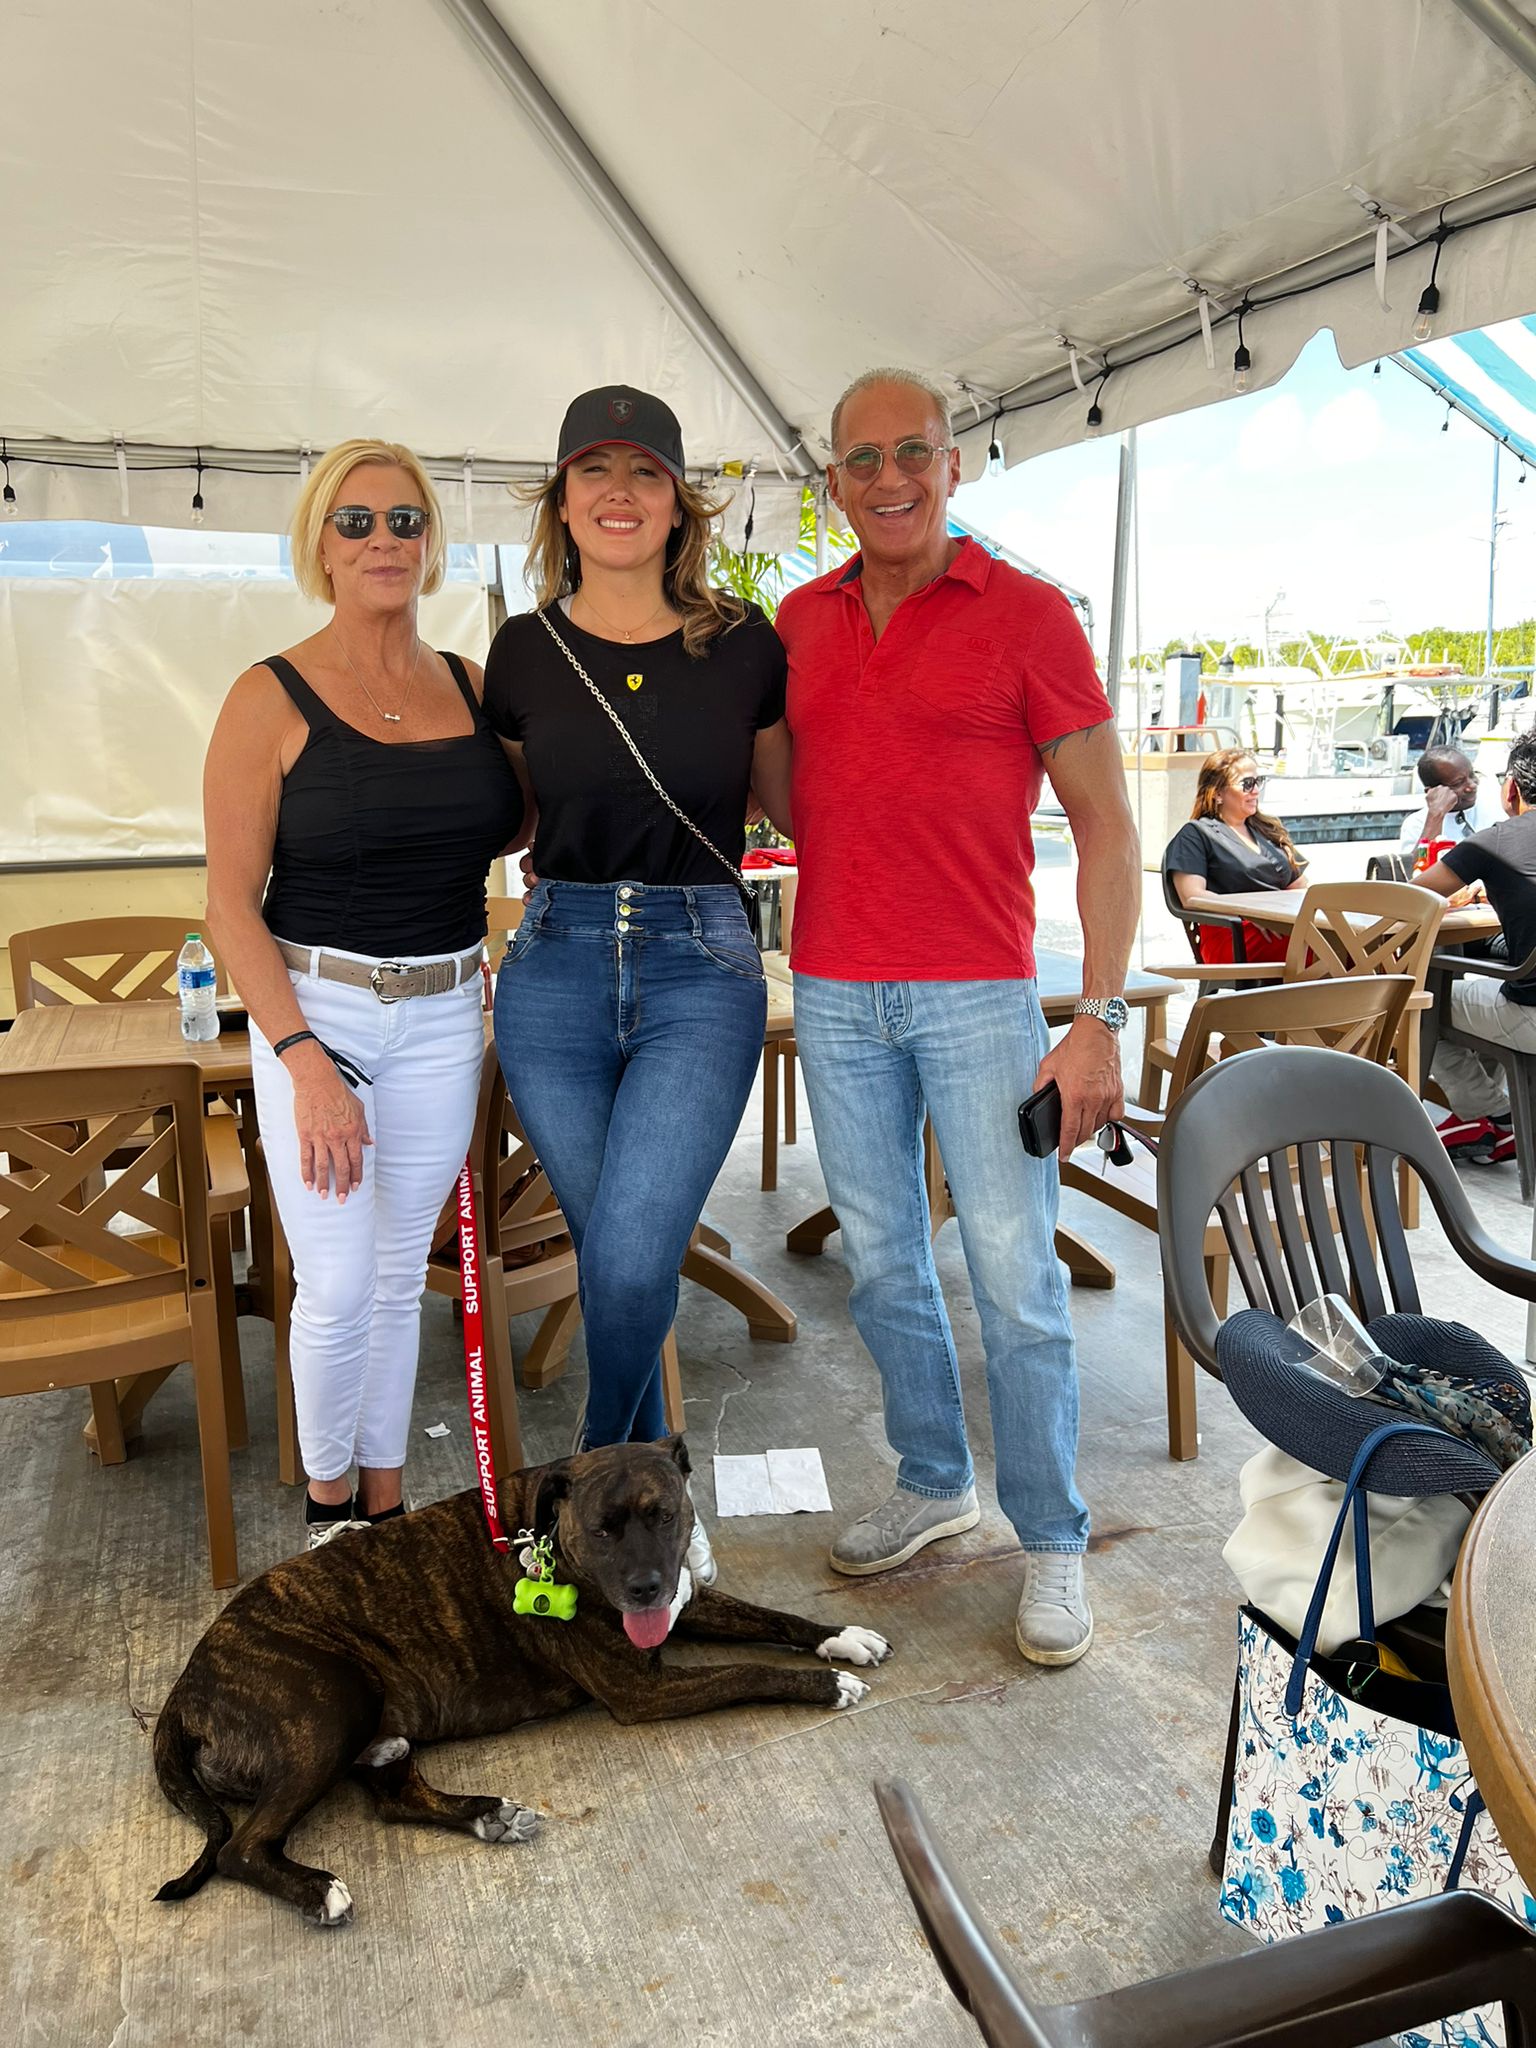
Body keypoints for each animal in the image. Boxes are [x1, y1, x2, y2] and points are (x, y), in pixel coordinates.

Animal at [153, 1436, 891, 1925]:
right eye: (602, 1529)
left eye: (664, 1515)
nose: (645, 1587)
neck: (549, 1532)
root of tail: (184, 1691)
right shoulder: (644, 1689)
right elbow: (750, 1669)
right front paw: (825, 1685)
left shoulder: (687, 1601)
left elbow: (775, 1619)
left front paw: (841, 1638)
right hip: (329, 1711)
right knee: (241, 1848)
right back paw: (317, 1889)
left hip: (376, 1731)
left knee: (392, 1795)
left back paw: (486, 1814)